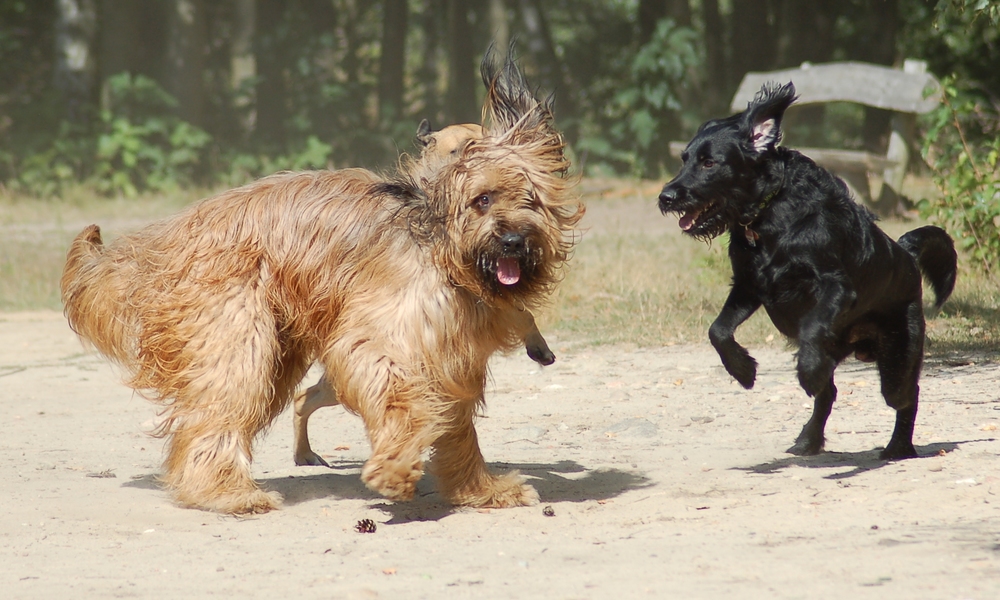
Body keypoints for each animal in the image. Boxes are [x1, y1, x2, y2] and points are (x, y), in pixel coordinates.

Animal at [62, 51, 584, 512]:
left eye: (531, 200)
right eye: (482, 200)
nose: (513, 241)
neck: (445, 250)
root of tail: (165, 239)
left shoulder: (454, 355)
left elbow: (457, 428)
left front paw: (481, 490)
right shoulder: (376, 339)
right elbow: (399, 396)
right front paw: (395, 468)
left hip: (278, 349)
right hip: (236, 337)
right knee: (220, 411)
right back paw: (227, 494)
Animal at [660, 83, 956, 460]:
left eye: (709, 162)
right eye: (684, 158)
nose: (665, 197)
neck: (771, 215)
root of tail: (905, 252)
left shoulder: (835, 287)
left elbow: (813, 326)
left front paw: (807, 371)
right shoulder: (749, 286)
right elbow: (718, 331)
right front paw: (743, 370)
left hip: (898, 355)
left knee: (906, 396)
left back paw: (898, 446)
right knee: (830, 393)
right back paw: (809, 438)